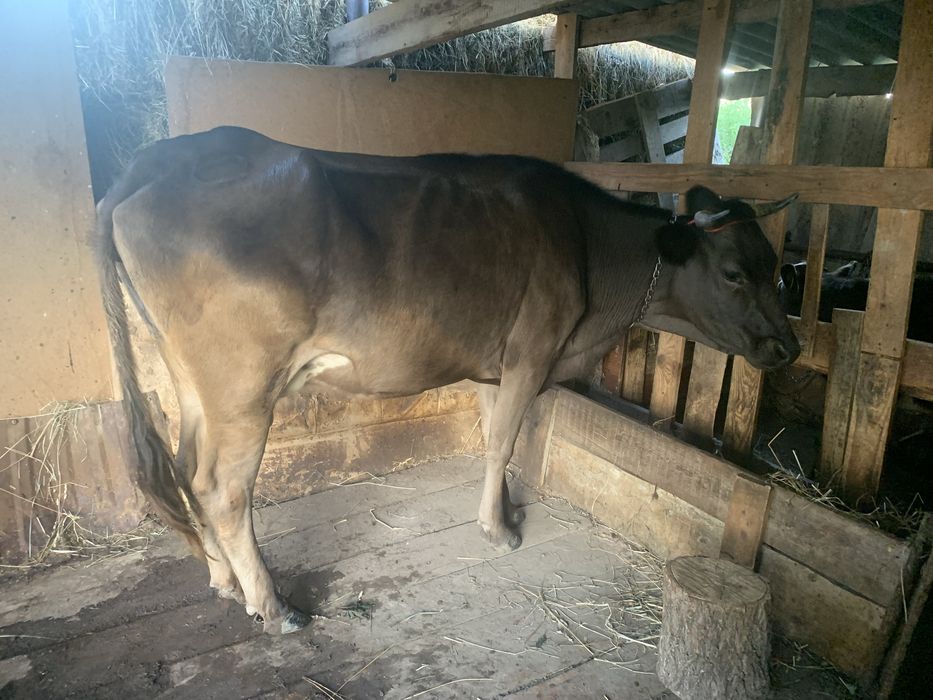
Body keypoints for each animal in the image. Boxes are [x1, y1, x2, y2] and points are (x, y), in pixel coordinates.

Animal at [96, 126, 799, 635]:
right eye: (736, 272)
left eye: (775, 265)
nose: (788, 346)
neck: (590, 252)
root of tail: (150, 161)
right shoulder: (532, 351)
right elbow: (503, 442)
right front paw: (501, 530)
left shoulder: (495, 361)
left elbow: (492, 435)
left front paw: (502, 510)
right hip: (242, 386)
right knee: (221, 489)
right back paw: (274, 607)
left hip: (193, 383)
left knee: (185, 468)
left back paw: (223, 581)